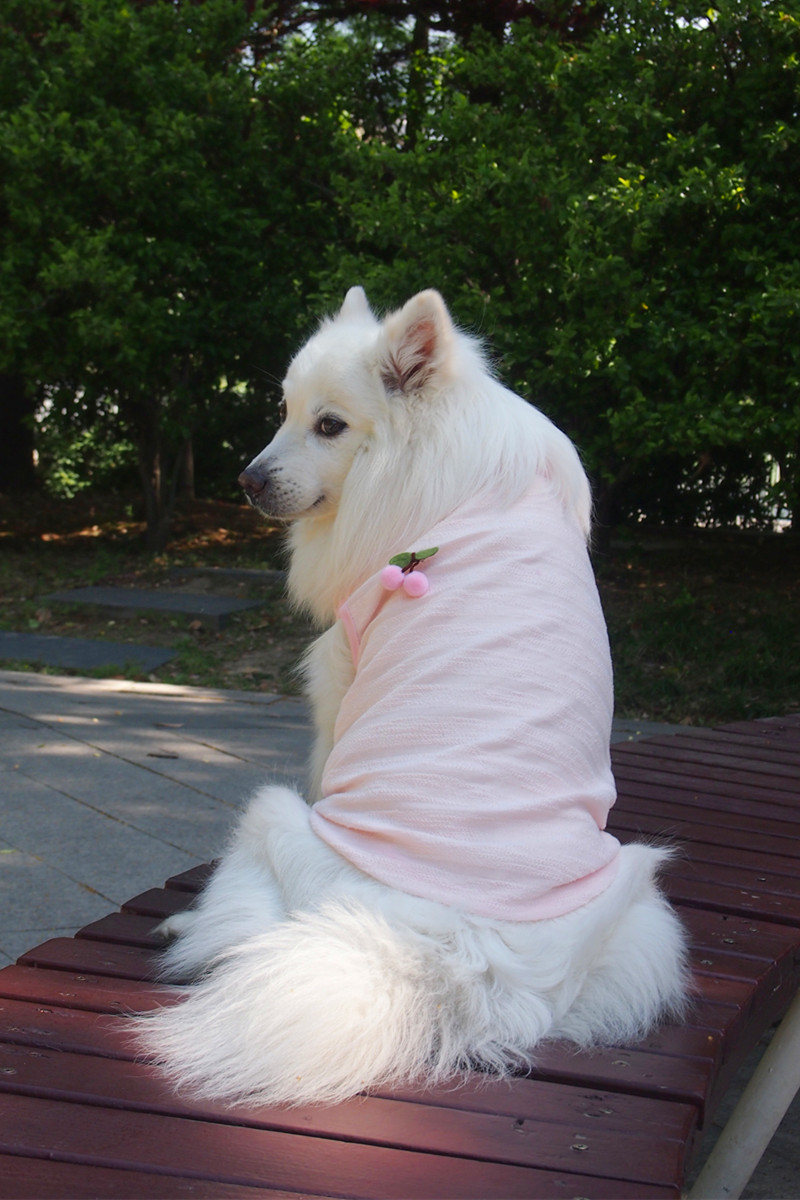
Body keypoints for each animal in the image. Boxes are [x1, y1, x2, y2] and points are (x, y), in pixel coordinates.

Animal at [135, 287, 688, 1107]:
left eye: (330, 425)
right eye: (285, 410)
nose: (248, 481)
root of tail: (450, 957)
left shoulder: (339, 674)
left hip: (270, 811)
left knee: (248, 919)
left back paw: (187, 927)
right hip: (639, 913)